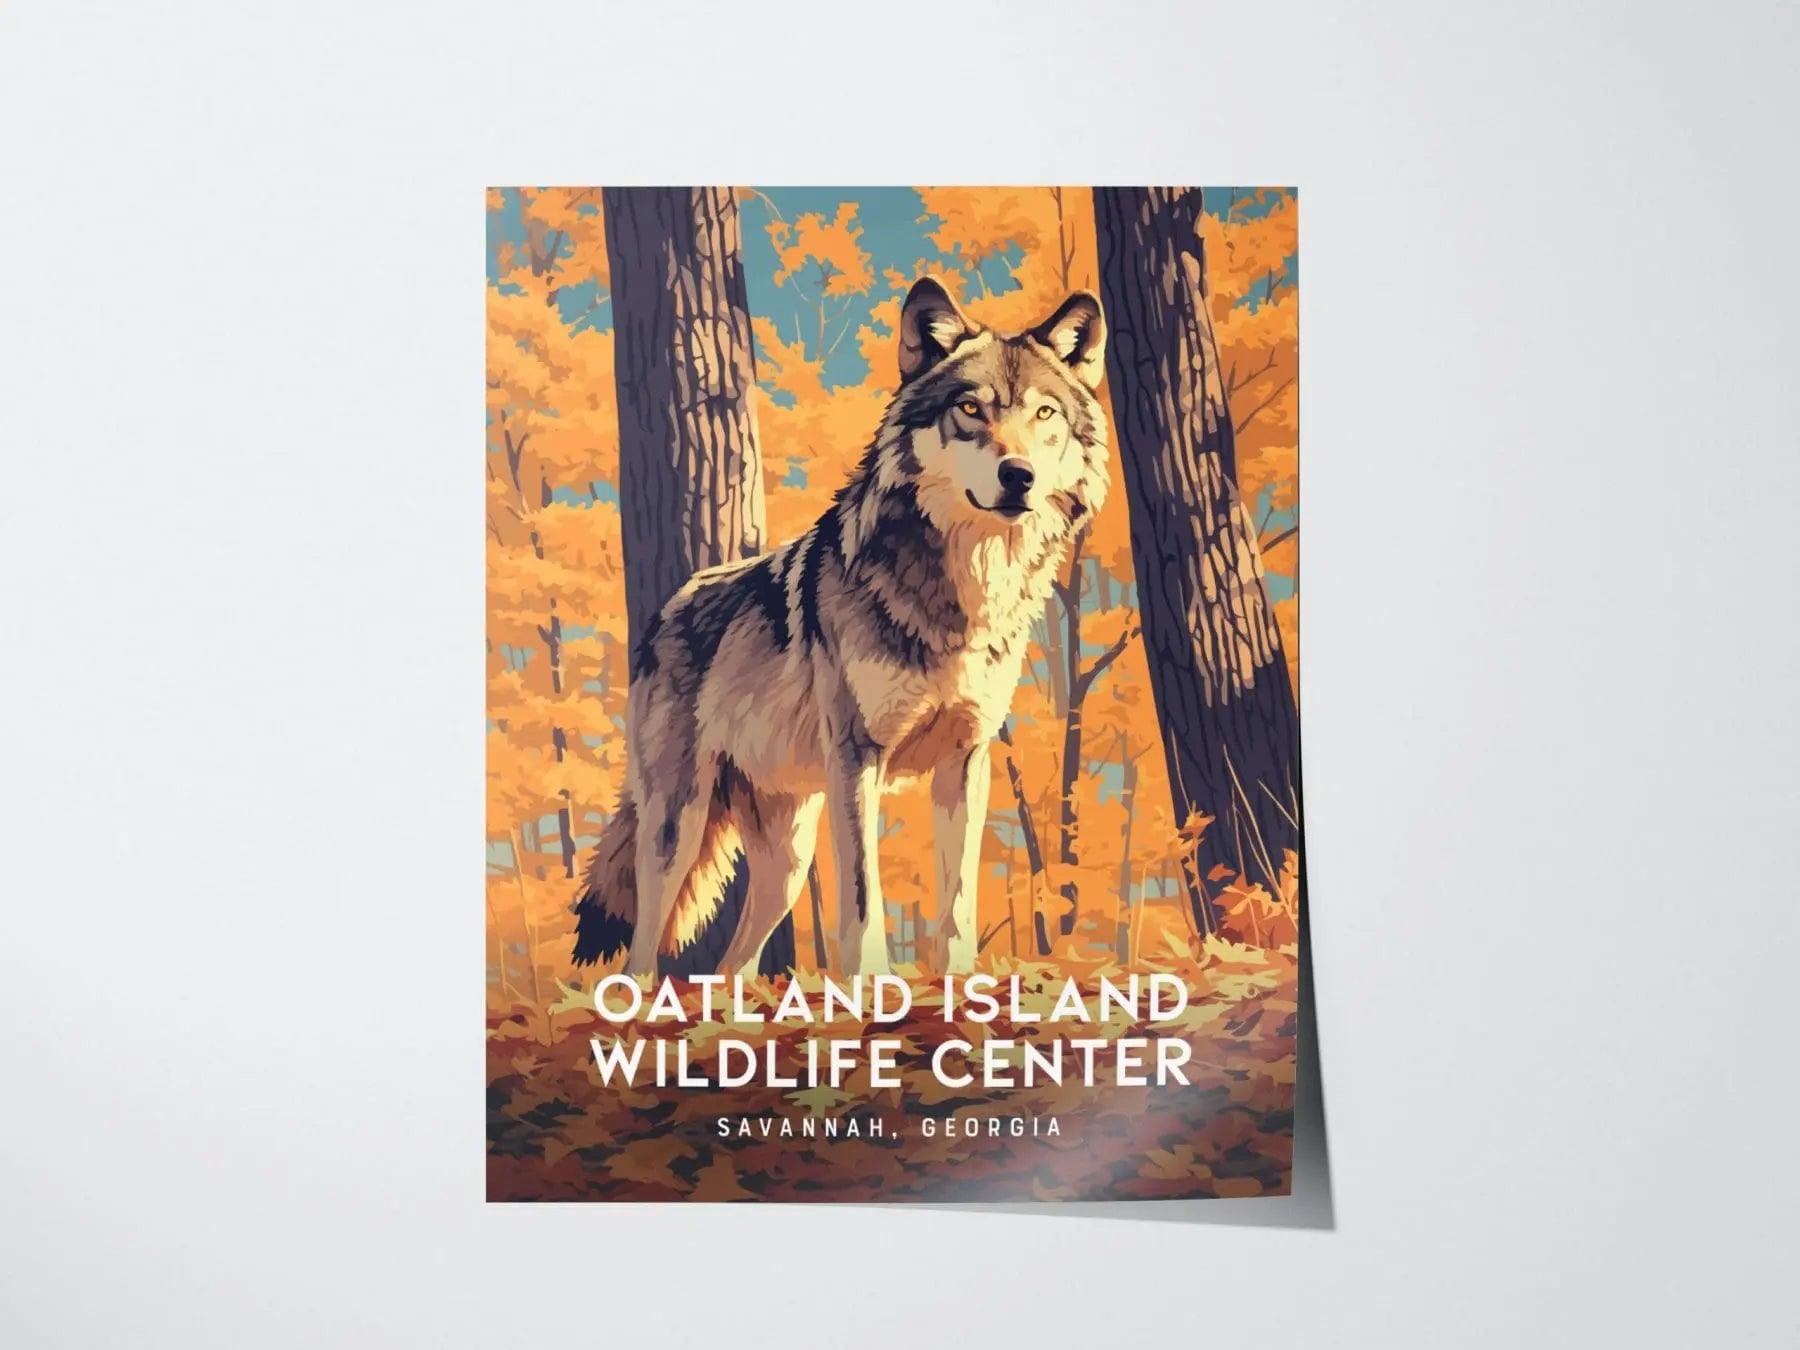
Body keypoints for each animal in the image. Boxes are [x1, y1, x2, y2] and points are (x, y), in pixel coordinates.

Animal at [572, 276, 1109, 976]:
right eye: (970, 408)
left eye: (1044, 415)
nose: (1017, 475)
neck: (964, 593)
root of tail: (668, 607)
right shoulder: (858, 758)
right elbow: (861, 897)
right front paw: (870, 988)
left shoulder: (966, 760)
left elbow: (958, 901)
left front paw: (961, 987)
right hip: (677, 828)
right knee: (641, 951)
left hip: (786, 861)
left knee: (733, 965)